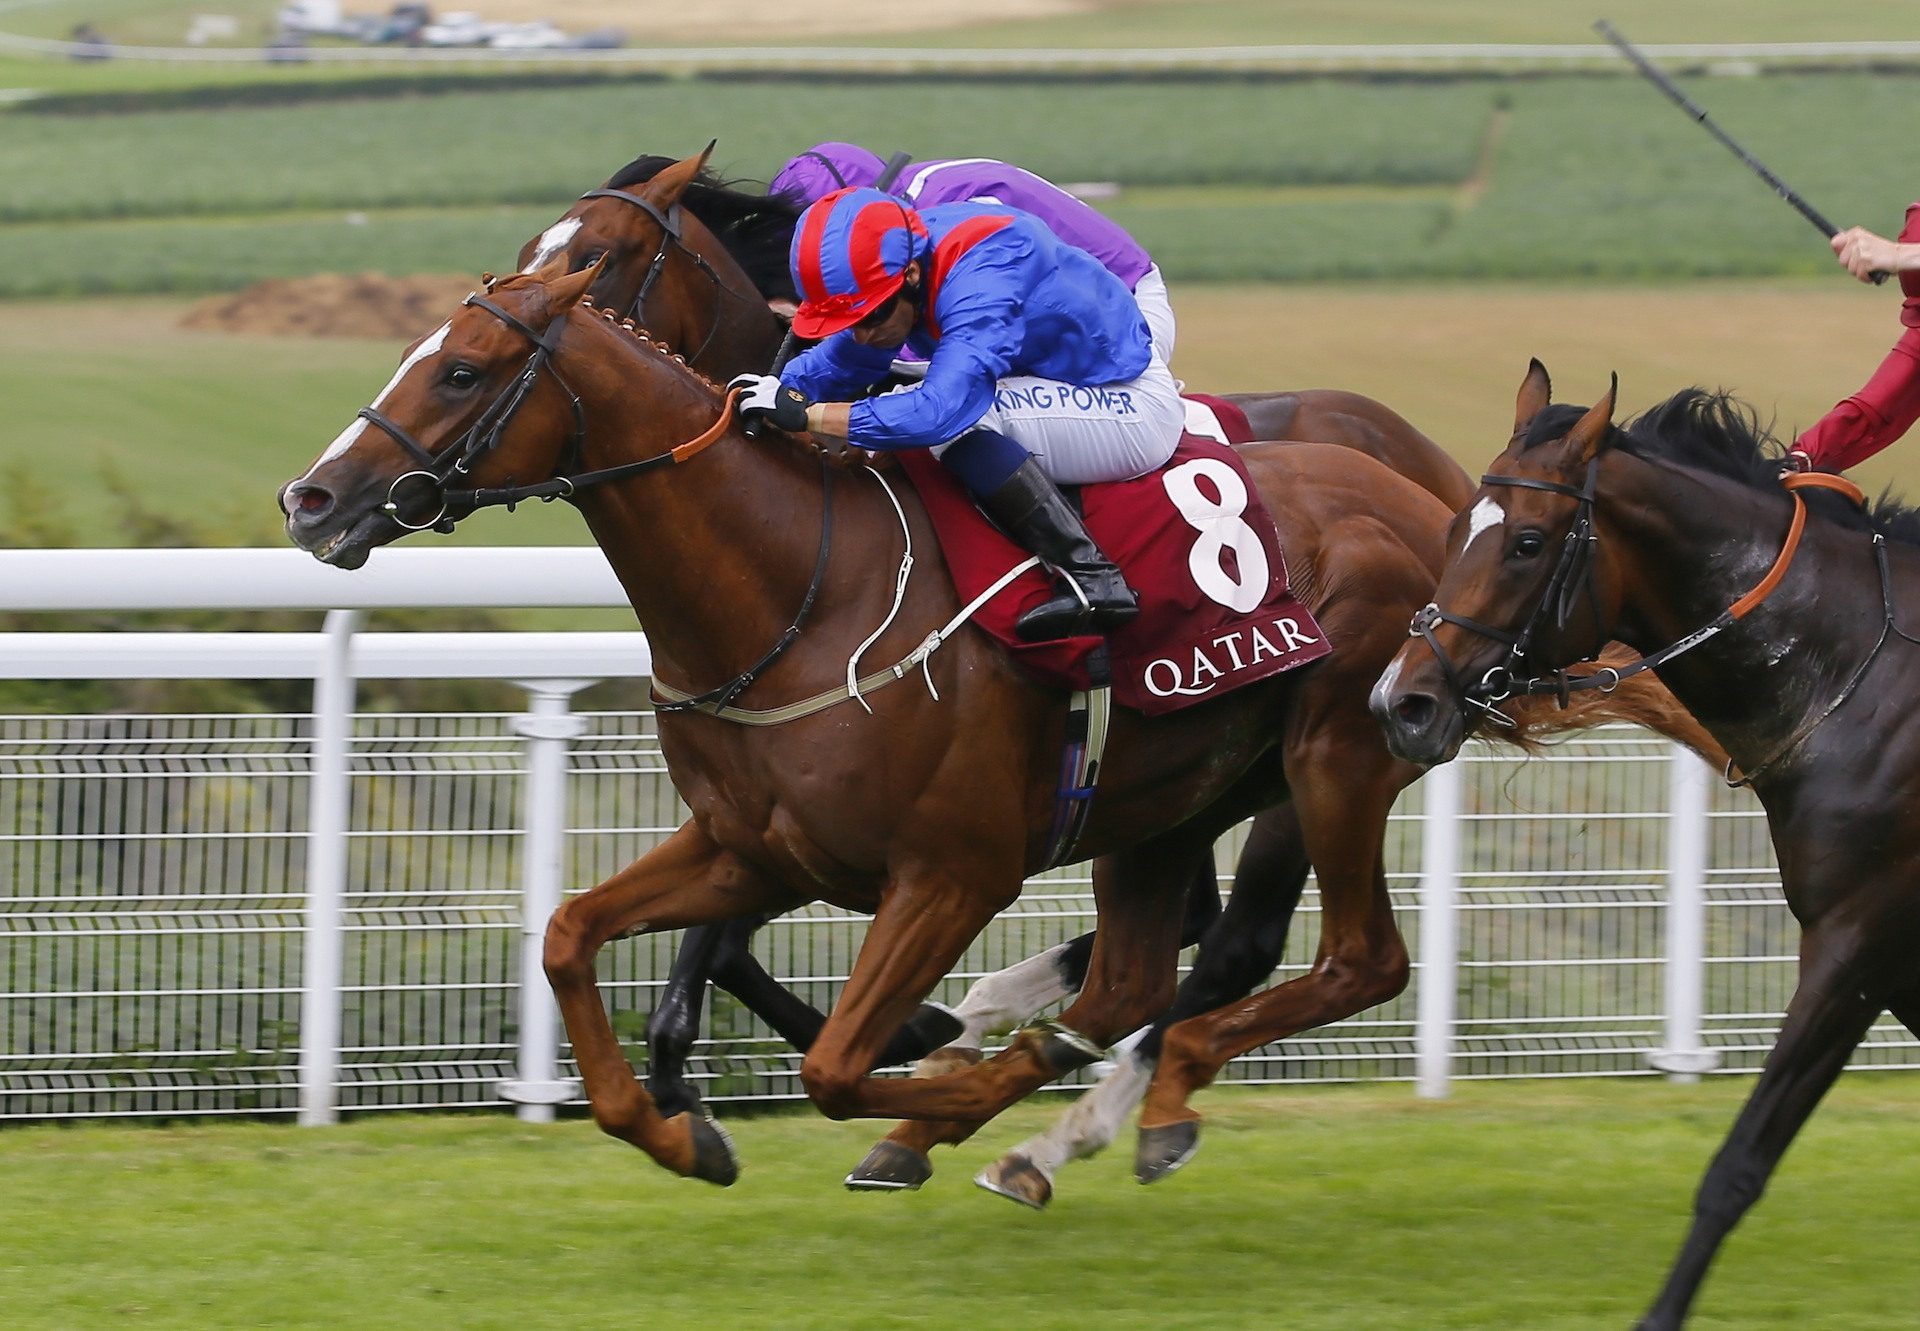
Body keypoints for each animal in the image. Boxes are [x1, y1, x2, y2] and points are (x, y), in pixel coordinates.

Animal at [278, 263, 1489, 1183]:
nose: (312, 499)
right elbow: (573, 932)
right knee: (1137, 977)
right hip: (1173, 798)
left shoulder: (953, 874)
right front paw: (679, 1130)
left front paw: (933, 1075)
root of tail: (1441, 497)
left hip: (1337, 755)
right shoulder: (750, 848)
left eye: (461, 369)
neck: (800, 589)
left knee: (1345, 959)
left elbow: (834, 1066)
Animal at [1374, 355, 1920, 1329]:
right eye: (1453, 528)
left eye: (1526, 542)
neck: (1849, 667)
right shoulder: (1891, 959)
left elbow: (1737, 1165)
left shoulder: (1859, 939)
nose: (1403, 704)